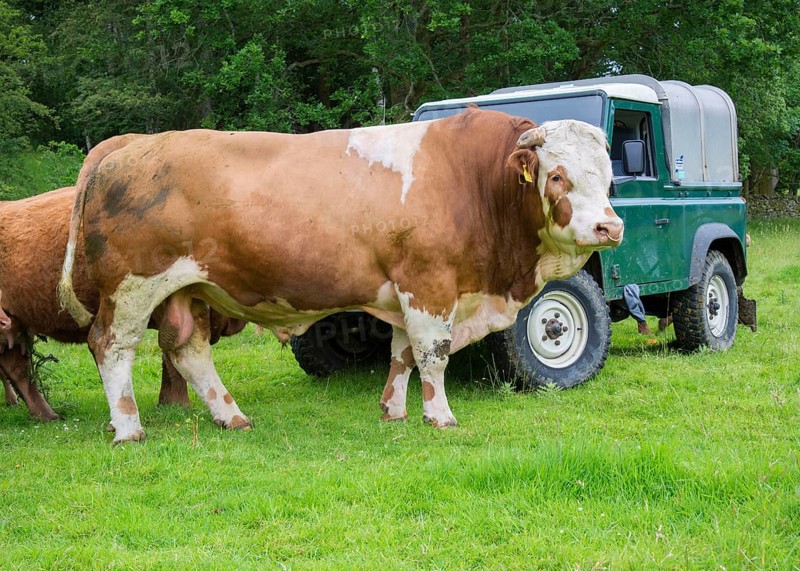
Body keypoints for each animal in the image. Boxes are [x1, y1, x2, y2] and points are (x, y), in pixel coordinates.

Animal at [58, 108, 623, 443]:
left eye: (610, 177)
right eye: (557, 176)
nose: (609, 226)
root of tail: (128, 144)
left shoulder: (405, 290)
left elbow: (401, 355)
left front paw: (393, 410)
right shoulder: (429, 283)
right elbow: (432, 355)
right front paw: (439, 416)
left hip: (190, 289)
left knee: (188, 351)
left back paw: (231, 416)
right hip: (132, 287)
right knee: (111, 346)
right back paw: (128, 428)